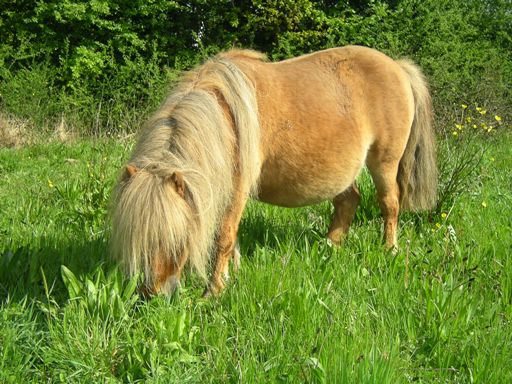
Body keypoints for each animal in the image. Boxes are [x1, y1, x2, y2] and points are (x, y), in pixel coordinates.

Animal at [111, 45, 436, 296]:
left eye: (177, 238)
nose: (153, 293)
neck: (225, 117)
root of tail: (397, 66)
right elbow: (231, 236)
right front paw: (231, 274)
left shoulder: (237, 189)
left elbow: (224, 236)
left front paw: (214, 290)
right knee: (348, 201)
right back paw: (328, 248)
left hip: (384, 163)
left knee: (389, 204)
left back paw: (389, 250)